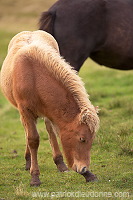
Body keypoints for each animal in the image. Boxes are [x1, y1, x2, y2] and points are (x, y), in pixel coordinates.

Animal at [0, 30, 99, 186]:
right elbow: (33, 140)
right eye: (82, 139)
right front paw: (35, 177)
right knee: (29, 132)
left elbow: (53, 133)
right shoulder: (25, 111)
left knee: (50, 131)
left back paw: (59, 163)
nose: (83, 168)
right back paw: (28, 162)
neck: (34, 77)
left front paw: (88, 175)